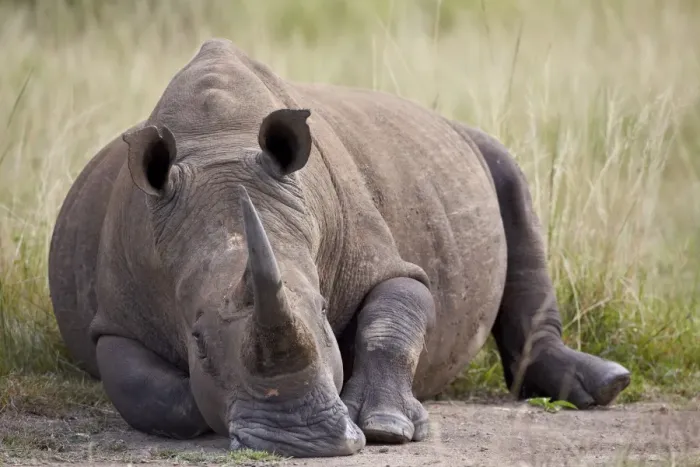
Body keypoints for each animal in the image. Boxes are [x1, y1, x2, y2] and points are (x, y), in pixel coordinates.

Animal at [48, 38, 631, 458]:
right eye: (198, 341)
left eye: (325, 313)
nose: (300, 439)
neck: (219, 149)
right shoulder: (117, 319)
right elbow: (151, 394)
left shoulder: (385, 260)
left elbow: (393, 319)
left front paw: (389, 427)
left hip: (470, 145)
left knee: (510, 179)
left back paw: (604, 387)